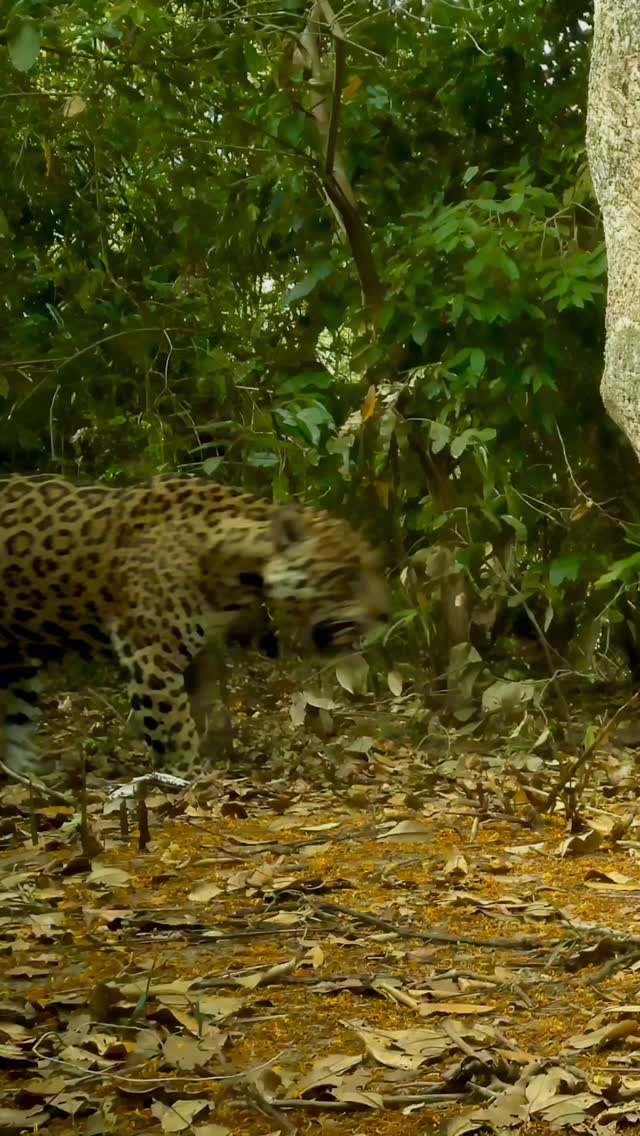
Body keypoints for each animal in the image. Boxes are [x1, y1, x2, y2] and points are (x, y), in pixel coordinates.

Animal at [0, 474, 389, 776]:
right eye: (348, 575)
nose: (386, 614)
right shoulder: (150, 655)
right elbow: (173, 726)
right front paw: (188, 778)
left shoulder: (203, 650)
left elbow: (209, 709)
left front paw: (218, 756)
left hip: (16, 663)